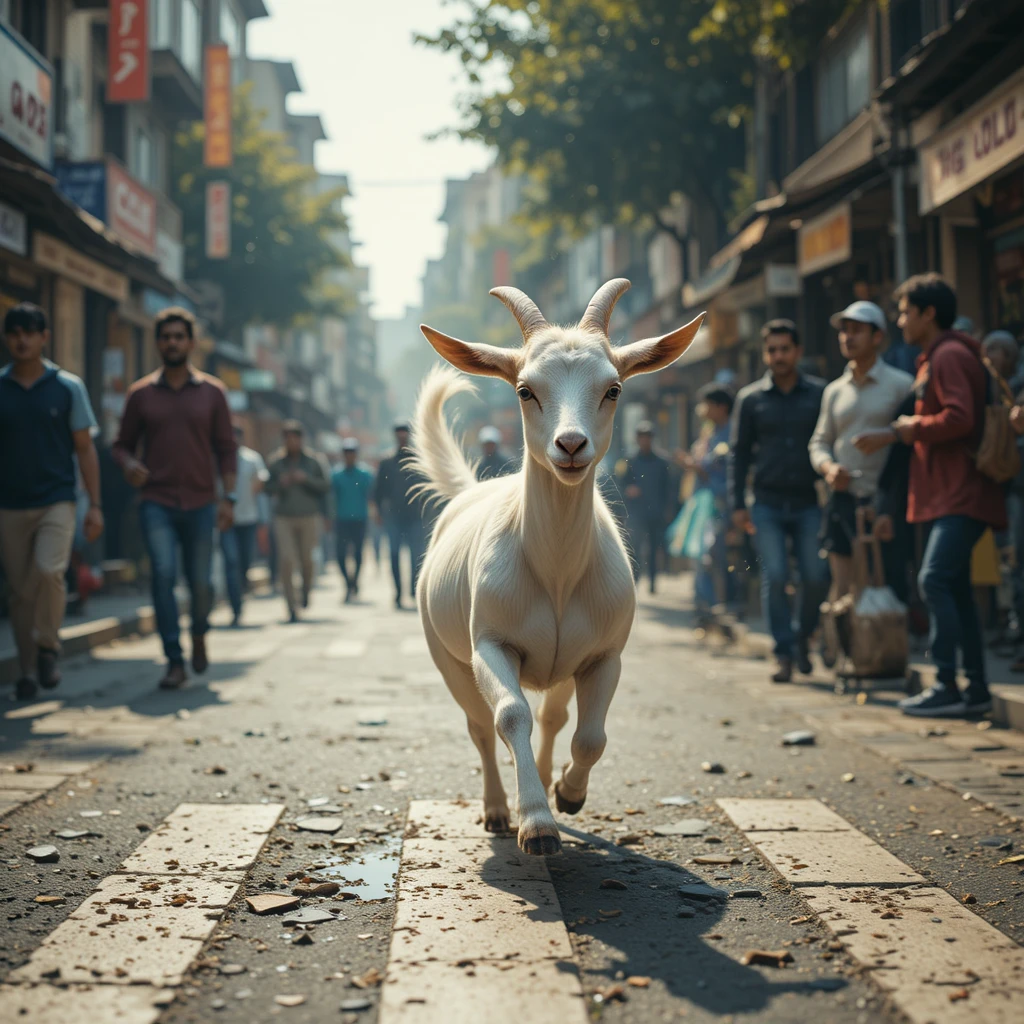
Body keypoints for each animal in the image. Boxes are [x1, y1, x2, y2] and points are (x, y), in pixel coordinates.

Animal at [411, 280, 704, 855]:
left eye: (613, 389)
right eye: (525, 390)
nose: (570, 445)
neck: (557, 573)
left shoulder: (603, 654)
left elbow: (589, 735)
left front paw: (567, 794)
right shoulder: (490, 643)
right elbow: (509, 715)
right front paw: (536, 824)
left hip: (562, 666)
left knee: (552, 717)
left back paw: (548, 780)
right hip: (445, 652)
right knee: (481, 726)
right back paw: (497, 808)